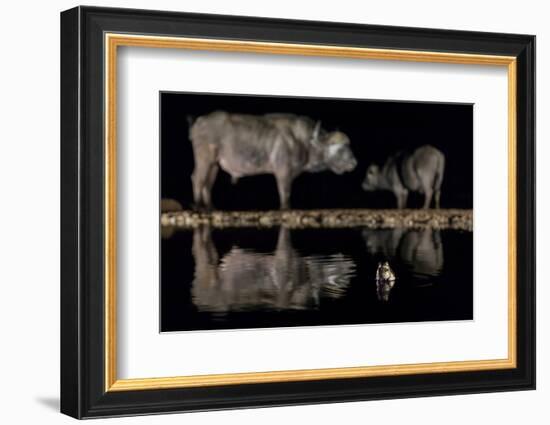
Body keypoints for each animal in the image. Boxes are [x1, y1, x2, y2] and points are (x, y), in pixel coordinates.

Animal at [190, 110, 358, 208]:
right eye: (340, 148)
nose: (354, 163)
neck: (303, 142)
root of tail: (199, 123)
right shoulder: (283, 174)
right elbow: (285, 197)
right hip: (205, 159)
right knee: (198, 179)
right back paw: (197, 206)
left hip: (214, 164)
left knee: (207, 184)